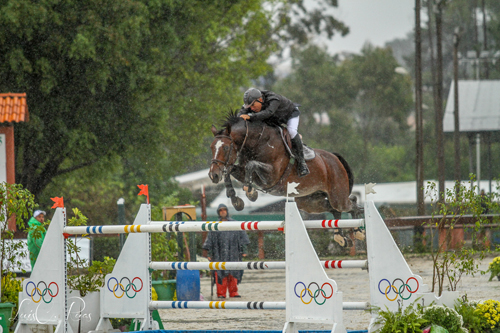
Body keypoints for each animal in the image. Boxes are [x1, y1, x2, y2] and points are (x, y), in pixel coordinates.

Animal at [208, 110, 364, 245]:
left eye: (225, 148)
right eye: (211, 147)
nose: (213, 175)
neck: (257, 142)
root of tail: (335, 158)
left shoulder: (271, 176)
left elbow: (250, 166)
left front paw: (251, 193)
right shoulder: (242, 170)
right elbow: (230, 171)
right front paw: (235, 200)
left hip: (337, 196)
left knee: (350, 204)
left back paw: (358, 231)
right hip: (310, 202)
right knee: (336, 208)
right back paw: (341, 236)